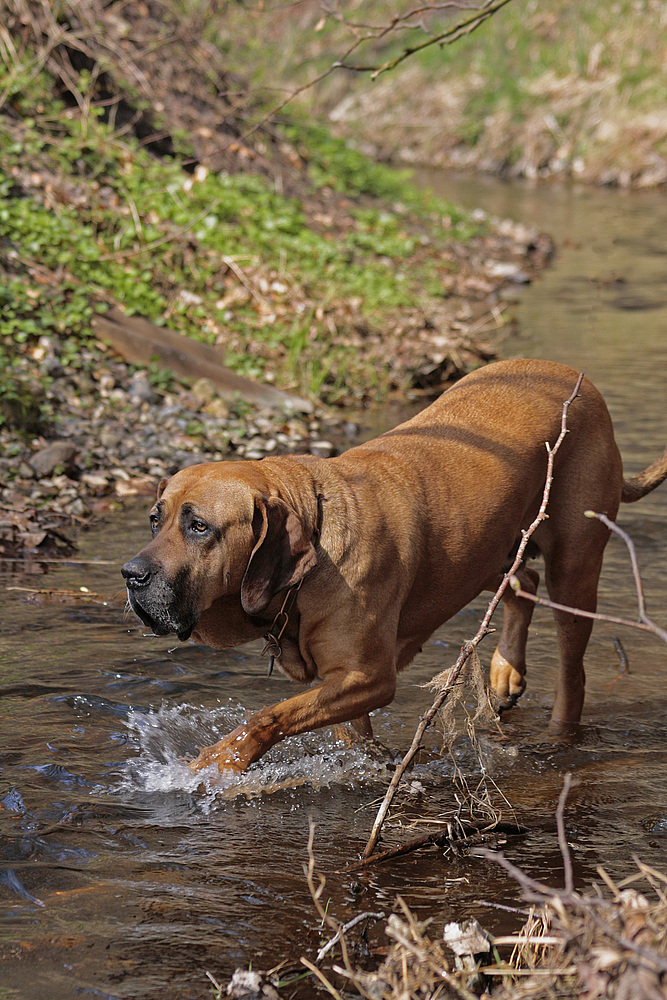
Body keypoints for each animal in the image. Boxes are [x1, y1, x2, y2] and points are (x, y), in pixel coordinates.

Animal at [121, 360, 667, 772]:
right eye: (155, 520)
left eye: (199, 527)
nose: (131, 575)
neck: (314, 539)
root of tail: (583, 383)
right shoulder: (340, 682)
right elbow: (341, 733)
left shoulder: (369, 677)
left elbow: (265, 717)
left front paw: (219, 762)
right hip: (482, 550)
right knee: (523, 580)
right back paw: (505, 670)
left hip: (574, 565)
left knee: (572, 668)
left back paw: (559, 734)